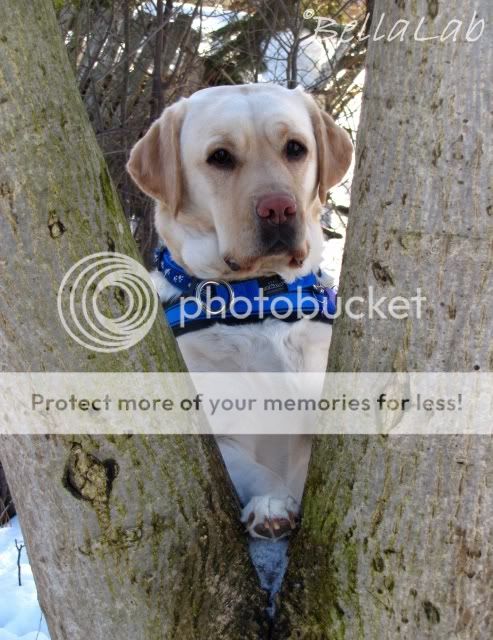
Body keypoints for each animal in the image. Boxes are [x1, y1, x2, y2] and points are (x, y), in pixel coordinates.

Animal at [127, 83, 352, 539]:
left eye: (295, 148)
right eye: (220, 157)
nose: (279, 209)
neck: (262, 294)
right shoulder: (217, 437)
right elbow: (253, 469)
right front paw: (271, 503)